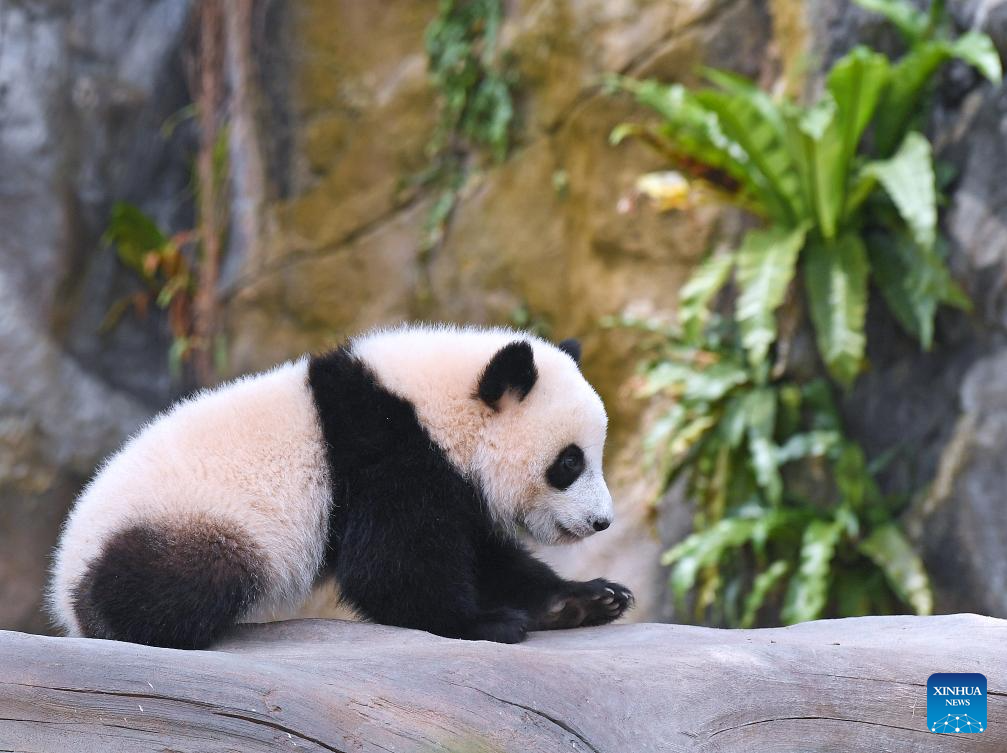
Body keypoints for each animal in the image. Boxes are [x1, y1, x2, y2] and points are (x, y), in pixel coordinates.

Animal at [48, 324, 633, 649]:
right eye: (569, 462)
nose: (601, 521)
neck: (434, 408)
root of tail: (65, 588)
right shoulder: (387, 455)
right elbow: (390, 567)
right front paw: (483, 623)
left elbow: (488, 557)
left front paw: (589, 599)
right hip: (187, 522)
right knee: (191, 578)